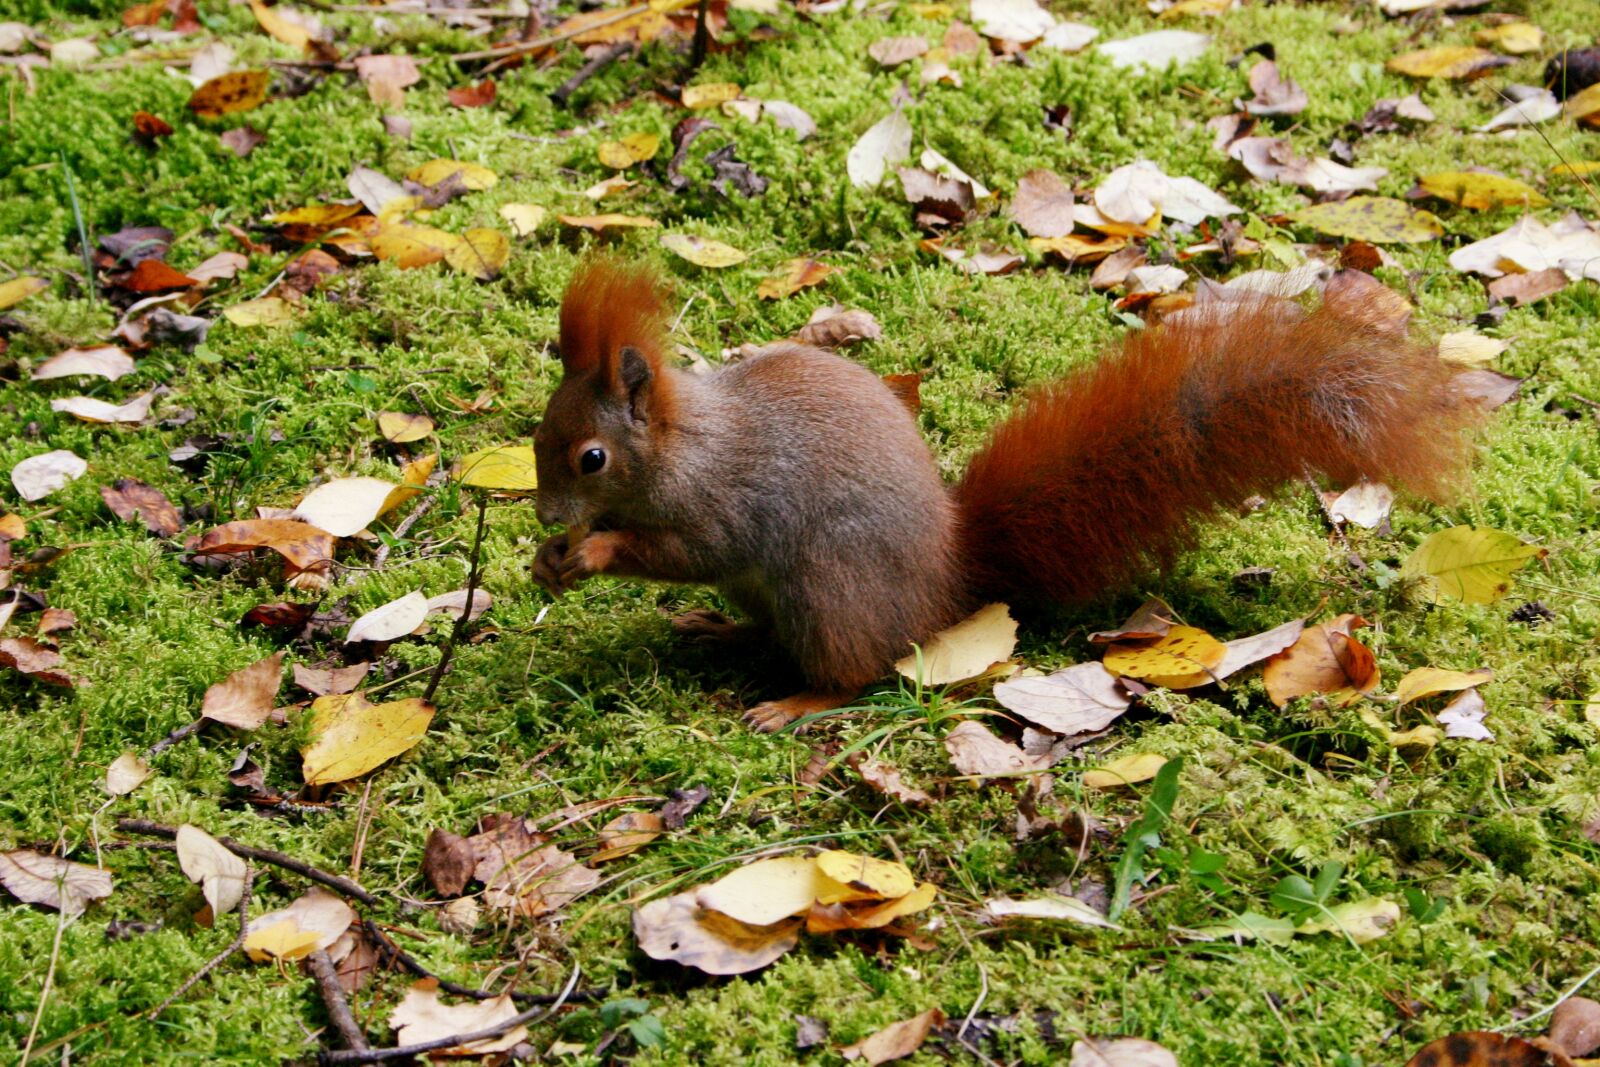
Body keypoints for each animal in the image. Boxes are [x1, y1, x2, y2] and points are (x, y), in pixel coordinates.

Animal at [531, 257, 1476, 732]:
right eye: (540, 435)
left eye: (590, 457)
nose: (544, 517)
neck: (682, 442)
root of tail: (947, 579)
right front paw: (548, 561)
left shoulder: (723, 500)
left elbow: (686, 549)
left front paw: (593, 550)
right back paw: (718, 630)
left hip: (830, 589)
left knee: (858, 668)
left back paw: (796, 701)